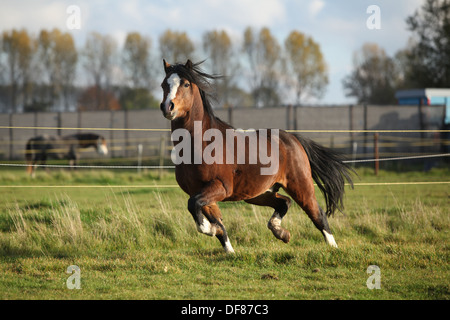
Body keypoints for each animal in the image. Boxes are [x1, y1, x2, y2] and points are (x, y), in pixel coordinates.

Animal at [160, 60, 354, 254]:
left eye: (186, 84)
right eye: (163, 84)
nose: (167, 107)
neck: (201, 144)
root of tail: (293, 139)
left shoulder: (221, 187)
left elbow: (195, 206)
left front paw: (211, 230)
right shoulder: (202, 193)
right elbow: (213, 219)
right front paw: (228, 249)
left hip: (301, 186)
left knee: (317, 214)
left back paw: (332, 247)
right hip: (258, 193)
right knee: (284, 202)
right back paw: (281, 232)